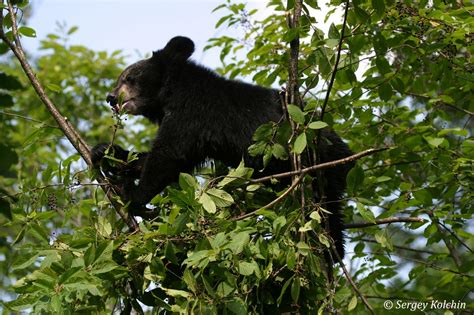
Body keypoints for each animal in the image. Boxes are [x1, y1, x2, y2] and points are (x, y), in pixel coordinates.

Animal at [90, 36, 354, 260]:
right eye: (122, 78)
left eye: (130, 77)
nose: (111, 97)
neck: (172, 91)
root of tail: (348, 156)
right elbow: (171, 159)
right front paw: (105, 153)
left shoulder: (191, 112)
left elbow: (169, 154)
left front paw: (131, 194)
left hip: (320, 165)